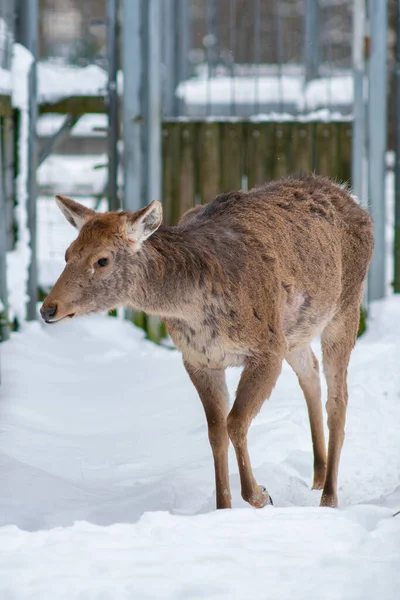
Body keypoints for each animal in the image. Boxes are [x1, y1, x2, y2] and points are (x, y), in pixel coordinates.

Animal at [40, 173, 376, 510]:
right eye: (68, 253)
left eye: (102, 260)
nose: (48, 308)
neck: (197, 308)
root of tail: (351, 197)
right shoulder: (199, 359)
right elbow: (216, 431)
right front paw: (223, 507)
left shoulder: (267, 348)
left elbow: (235, 421)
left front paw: (260, 495)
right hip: (295, 331)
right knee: (311, 372)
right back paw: (318, 473)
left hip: (344, 307)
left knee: (339, 397)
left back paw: (329, 496)